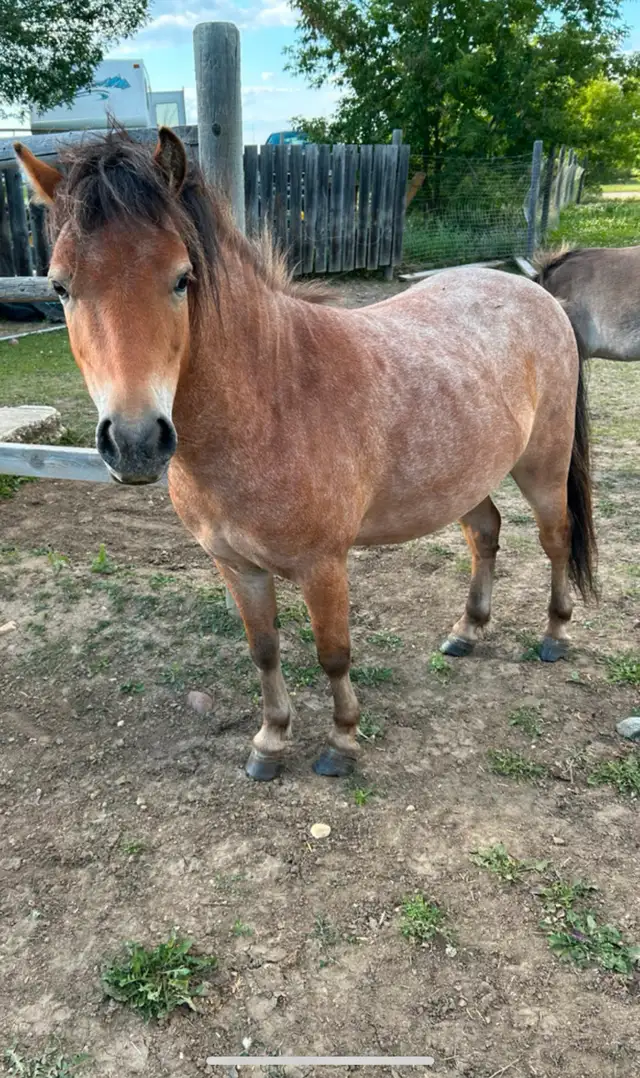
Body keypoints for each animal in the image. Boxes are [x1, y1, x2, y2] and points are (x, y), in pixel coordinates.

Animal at [14, 129, 597, 782]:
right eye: (60, 286)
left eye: (183, 278)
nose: (136, 442)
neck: (273, 401)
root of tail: (536, 291)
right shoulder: (237, 567)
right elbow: (264, 649)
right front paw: (270, 741)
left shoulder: (324, 567)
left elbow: (332, 653)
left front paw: (341, 742)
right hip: (463, 479)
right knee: (485, 533)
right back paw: (467, 631)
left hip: (543, 467)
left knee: (555, 539)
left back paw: (554, 636)